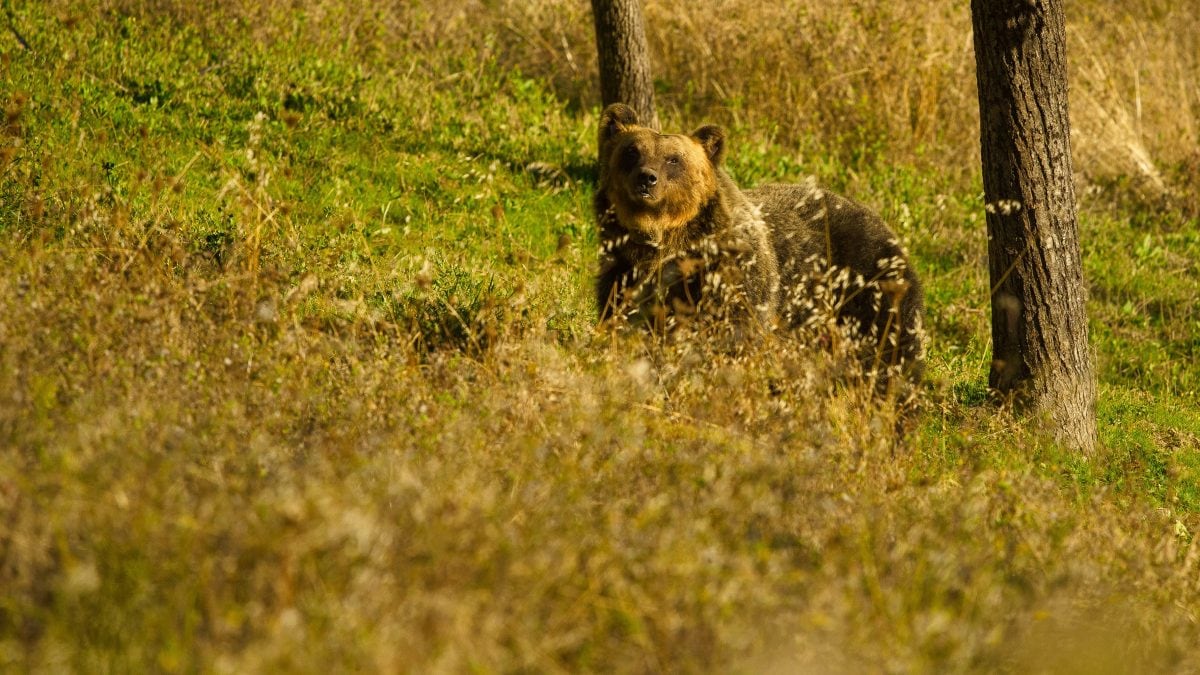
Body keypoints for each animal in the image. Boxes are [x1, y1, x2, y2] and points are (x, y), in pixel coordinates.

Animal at [594, 103, 924, 385]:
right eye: (632, 151)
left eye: (673, 159)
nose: (646, 178)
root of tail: (883, 221)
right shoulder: (622, 271)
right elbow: (621, 316)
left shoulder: (732, 276)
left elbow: (735, 333)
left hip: (868, 284)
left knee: (890, 349)